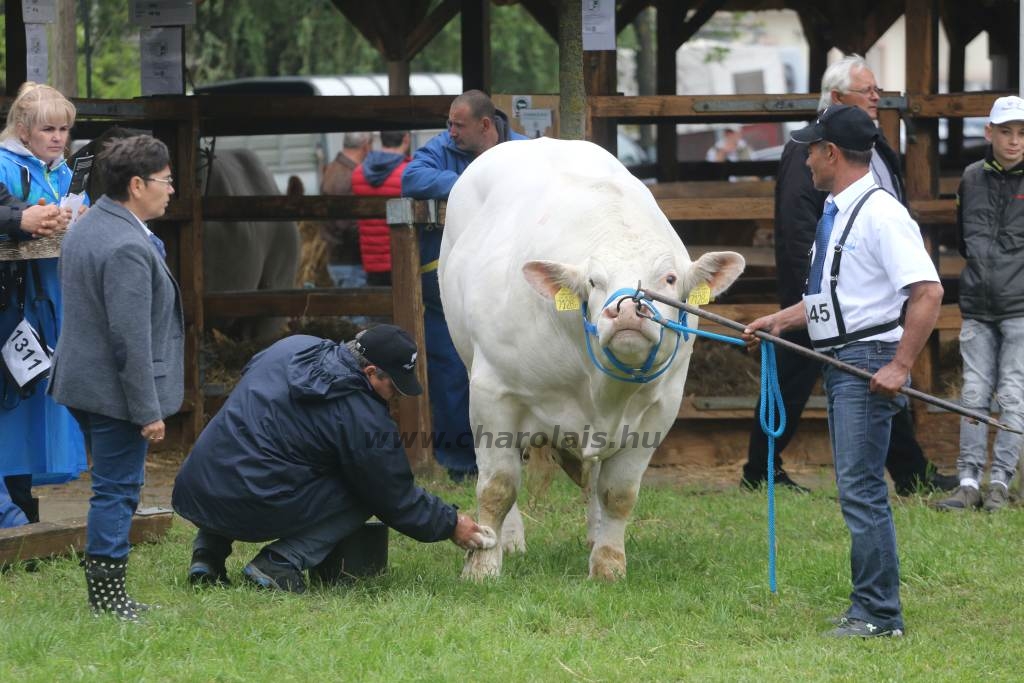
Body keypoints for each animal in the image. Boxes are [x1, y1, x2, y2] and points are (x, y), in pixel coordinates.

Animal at [440, 139, 745, 581]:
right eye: (593, 281)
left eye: (670, 279)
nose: (629, 309)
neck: (600, 389)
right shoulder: (492, 394)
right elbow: (497, 486)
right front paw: (483, 564)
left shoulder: (659, 410)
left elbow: (618, 493)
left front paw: (608, 563)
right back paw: (511, 540)